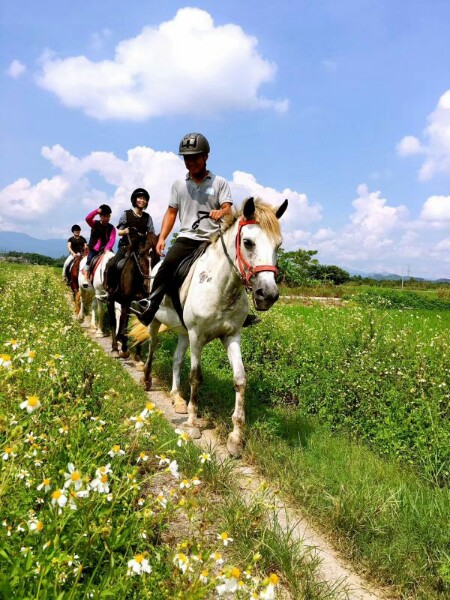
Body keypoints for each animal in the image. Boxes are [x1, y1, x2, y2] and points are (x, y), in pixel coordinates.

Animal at [106, 231, 160, 360]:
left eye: (157, 256)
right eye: (141, 254)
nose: (148, 285)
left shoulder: (141, 305)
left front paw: (138, 355)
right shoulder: (127, 302)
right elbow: (124, 326)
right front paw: (124, 350)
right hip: (111, 299)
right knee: (113, 322)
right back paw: (115, 348)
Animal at [130, 197, 286, 454]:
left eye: (278, 246)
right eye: (248, 242)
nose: (268, 295)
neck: (222, 288)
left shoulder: (231, 336)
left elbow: (240, 380)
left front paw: (235, 437)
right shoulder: (197, 336)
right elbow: (196, 377)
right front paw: (193, 424)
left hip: (183, 333)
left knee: (176, 360)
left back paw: (177, 398)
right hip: (156, 321)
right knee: (152, 347)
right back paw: (147, 380)